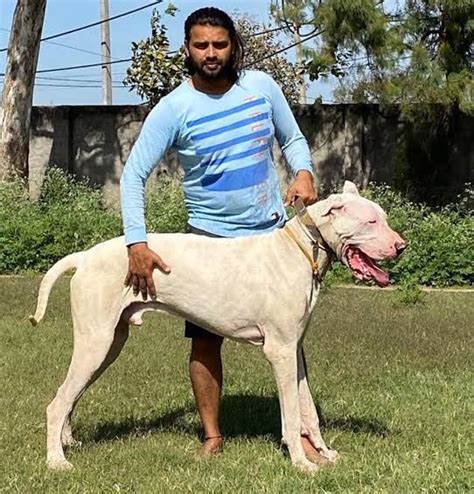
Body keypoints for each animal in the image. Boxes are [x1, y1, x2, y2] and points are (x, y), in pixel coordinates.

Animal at [31, 180, 406, 470]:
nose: (402, 246)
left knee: (70, 396)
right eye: (371, 221)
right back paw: (57, 461)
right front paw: (301, 464)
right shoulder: (280, 351)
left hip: (109, 344)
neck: (300, 248)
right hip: (96, 342)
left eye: (383, 217)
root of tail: (84, 256)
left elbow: (308, 410)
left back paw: (68, 442)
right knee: (56, 403)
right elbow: (290, 413)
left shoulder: (295, 350)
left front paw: (324, 454)